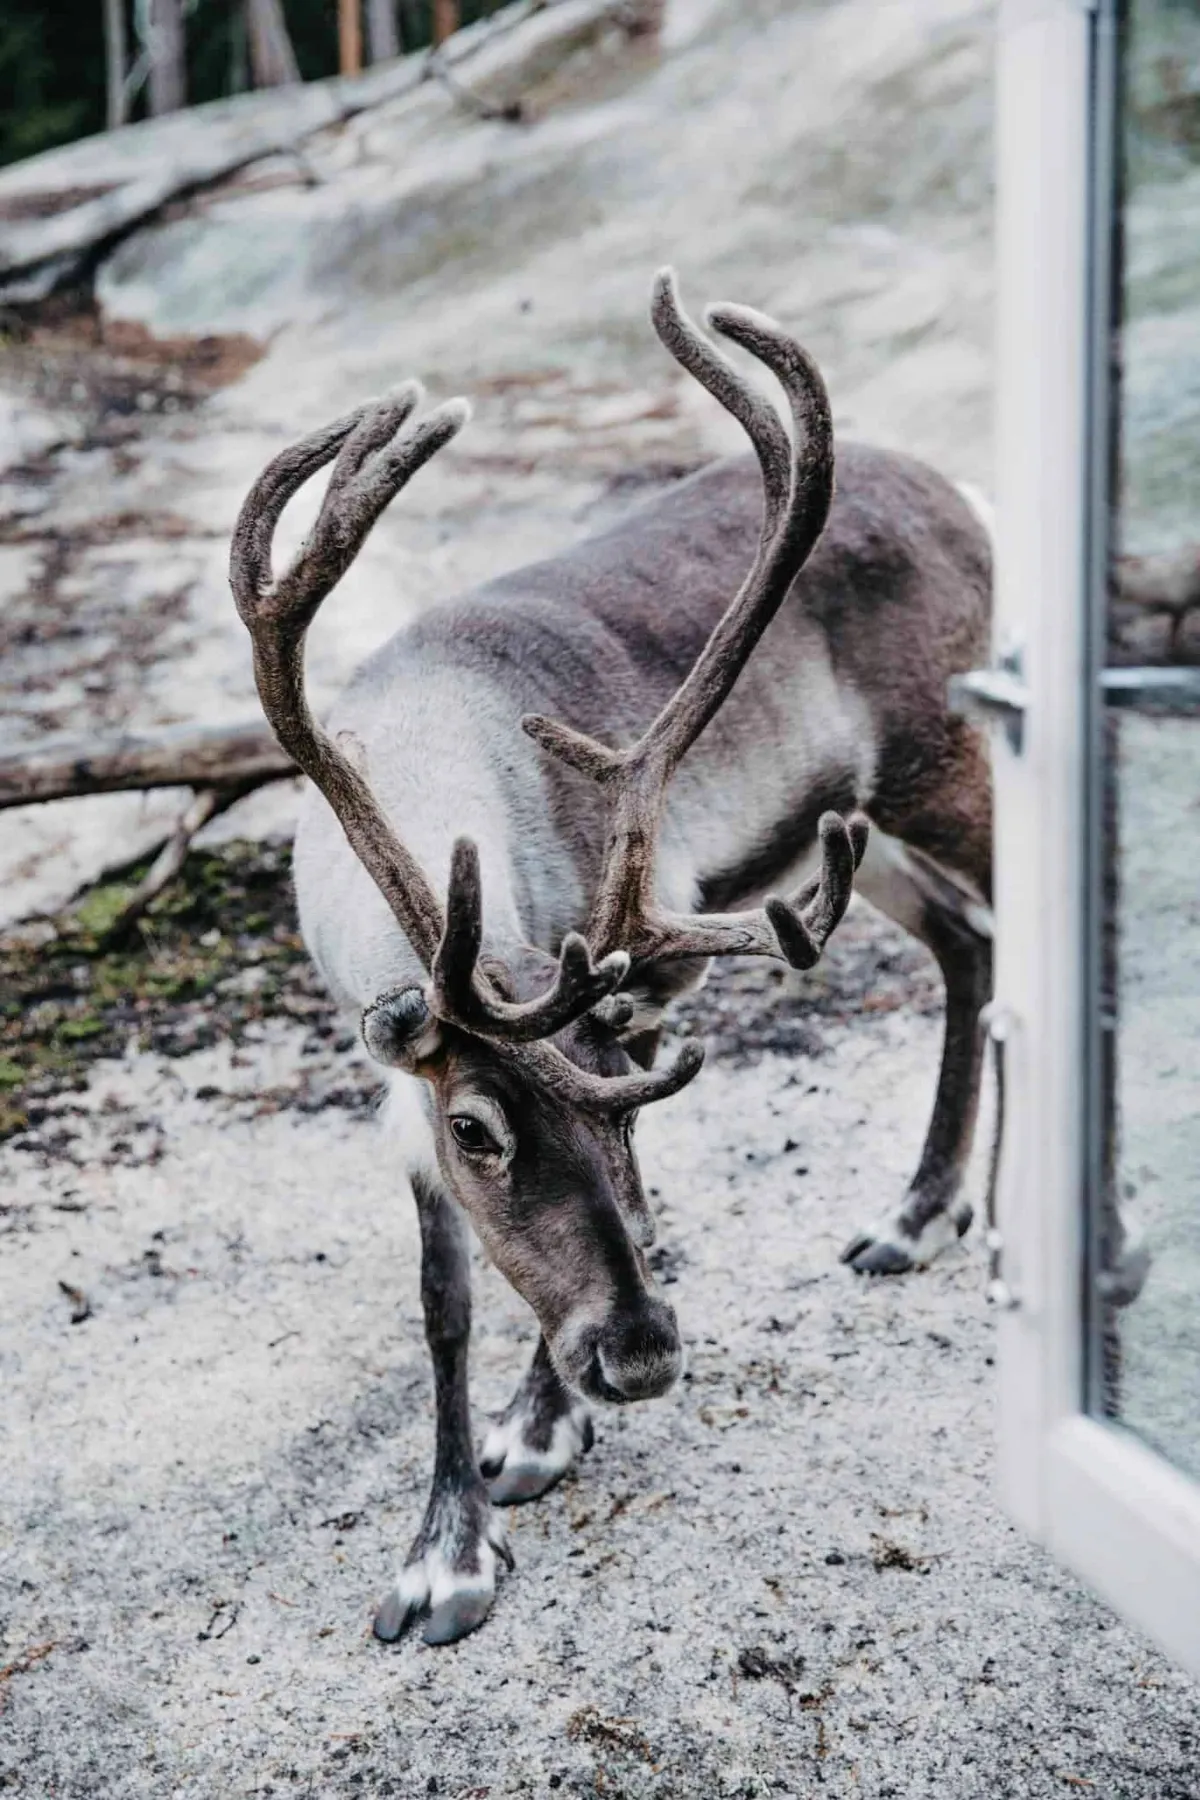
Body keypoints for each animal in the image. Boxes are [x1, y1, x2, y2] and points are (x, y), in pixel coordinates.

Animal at [230, 270, 993, 1645]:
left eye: (632, 1114)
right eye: (476, 1130)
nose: (639, 1356)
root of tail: (967, 494)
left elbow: (599, 1231)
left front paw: (535, 1435)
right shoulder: (403, 1083)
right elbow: (445, 1298)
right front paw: (446, 1546)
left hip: (948, 762)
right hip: (852, 834)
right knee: (968, 943)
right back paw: (917, 1215)